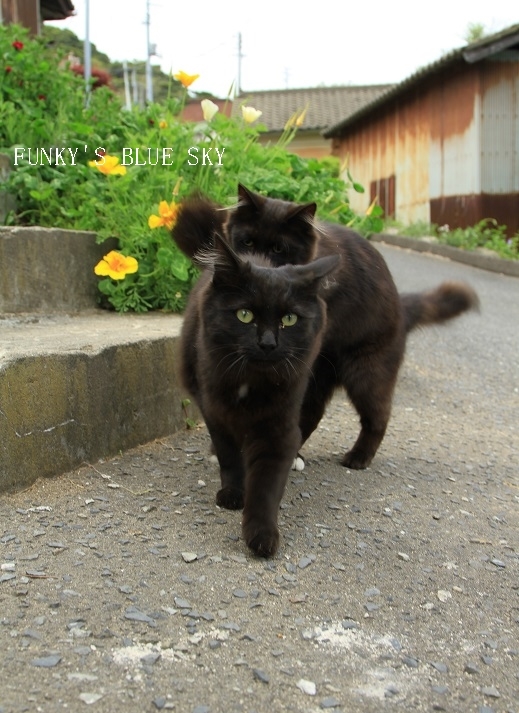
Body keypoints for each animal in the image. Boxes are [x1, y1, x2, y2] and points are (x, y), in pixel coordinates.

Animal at [180, 234, 342, 556]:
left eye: (289, 319)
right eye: (245, 315)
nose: (268, 343)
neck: (250, 382)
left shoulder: (278, 428)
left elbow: (266, 486)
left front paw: (262, 534)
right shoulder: (216, 411)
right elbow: (230, 456)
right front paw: (232, 493)